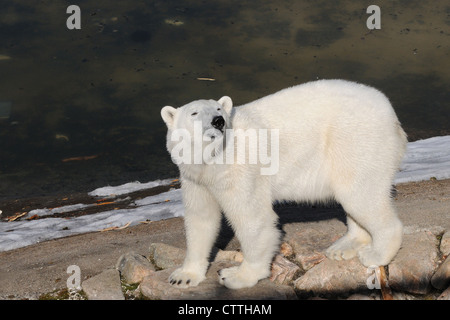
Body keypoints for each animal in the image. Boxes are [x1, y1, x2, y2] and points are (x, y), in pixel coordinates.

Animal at [160, 79, 406, 288]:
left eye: (219, 110)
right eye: (194, 113)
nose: (217, 121)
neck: (213, 160)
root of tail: (390, 112)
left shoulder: (241, 170)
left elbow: (253, 219)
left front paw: (235, 276)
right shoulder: (196, 179)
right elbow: (201, 220)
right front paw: (183, 276)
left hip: (356, 142)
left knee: (360, 194)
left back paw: (376, 253)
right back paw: (344, 247)